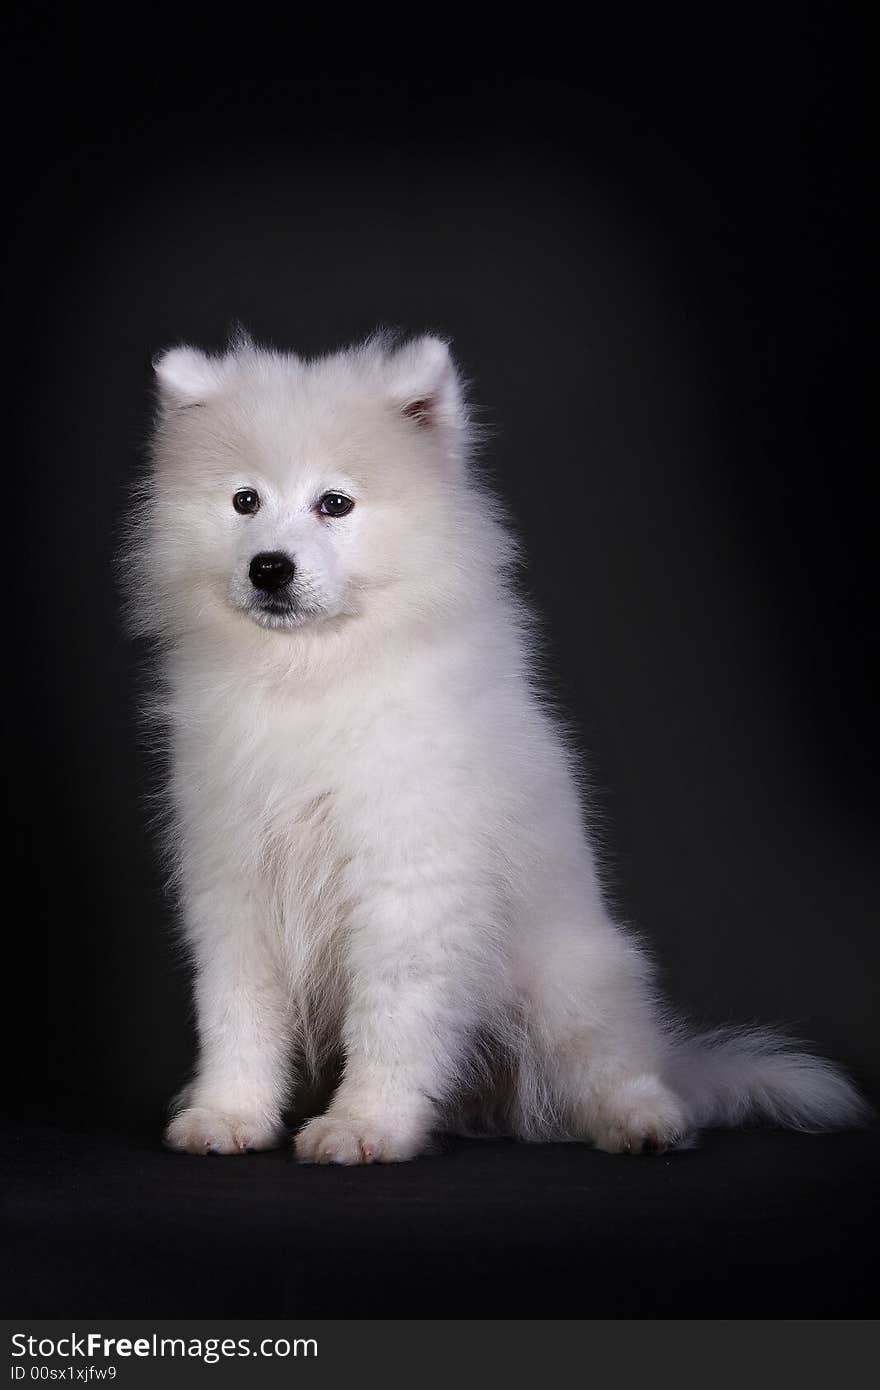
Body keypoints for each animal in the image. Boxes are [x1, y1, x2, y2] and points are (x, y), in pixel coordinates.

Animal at [121, 333, 867, 1162]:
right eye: (244, 501)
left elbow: (392, 1021)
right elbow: (238, 1017)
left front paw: (364, 1126)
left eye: (335, 504)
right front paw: (229, 1115)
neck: (311, 676)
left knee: (617, 1068)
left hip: (573, 982)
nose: (270, 567)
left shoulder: (407, 882)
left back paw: (644, 1122)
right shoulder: (235, 882)